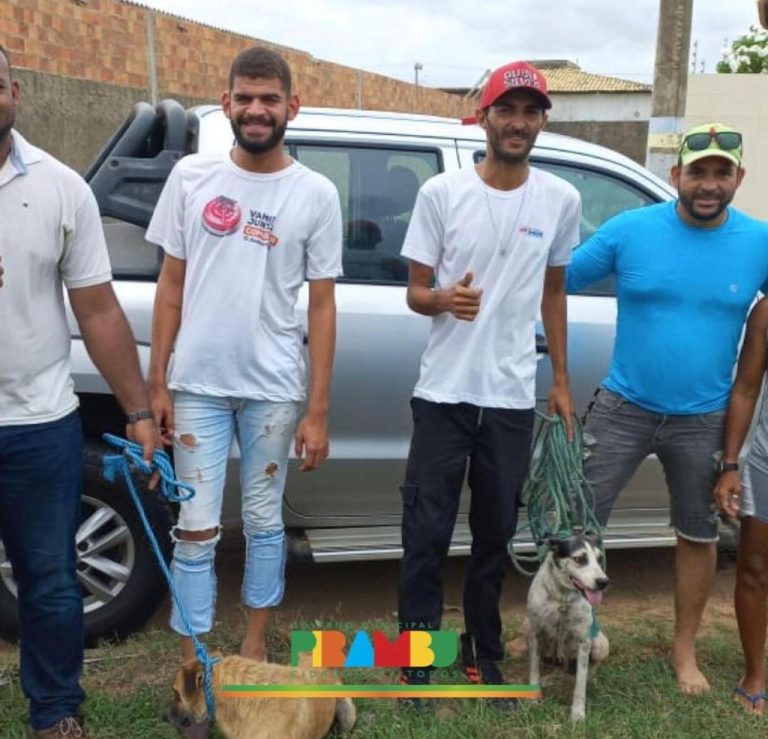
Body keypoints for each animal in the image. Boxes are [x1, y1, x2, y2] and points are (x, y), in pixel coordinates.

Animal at [527, 533, 610, 722]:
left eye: (599, 559)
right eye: (579, 559)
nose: (604, 582)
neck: (562, 598)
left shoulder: (584, 642)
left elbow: (580, 683)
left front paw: (577, 713)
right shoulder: (535, 634)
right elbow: (534, 669)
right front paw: (533, 698)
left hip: (601, 644)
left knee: (590, 668)